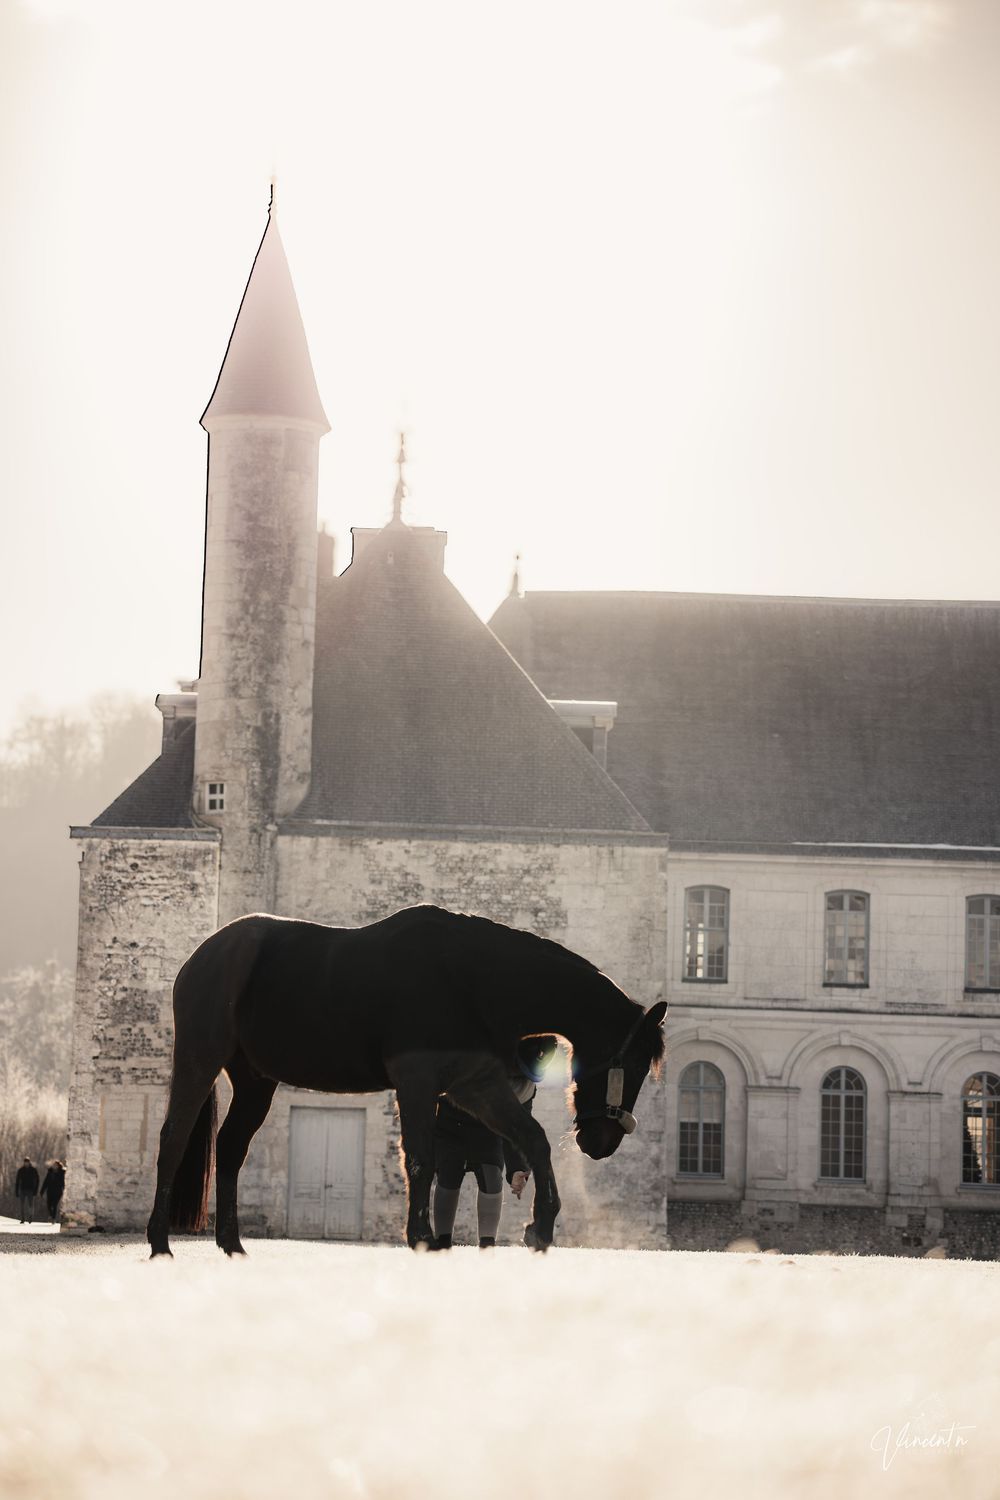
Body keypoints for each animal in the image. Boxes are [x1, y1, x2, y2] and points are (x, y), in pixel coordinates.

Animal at [146, 904, 667, 1257]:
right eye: (633, 1063)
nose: (602, 1141)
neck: (471, 980)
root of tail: (203, 955)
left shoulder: (475, 1086)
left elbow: (532, 1138)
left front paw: (541, 1227)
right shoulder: (416, 1081)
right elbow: (420, 1159)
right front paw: (422, 1238)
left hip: (256, 1081)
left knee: (231, 1148)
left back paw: (232, 1245)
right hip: (198, 1059)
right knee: (172, 1140)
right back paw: (159, 1243)